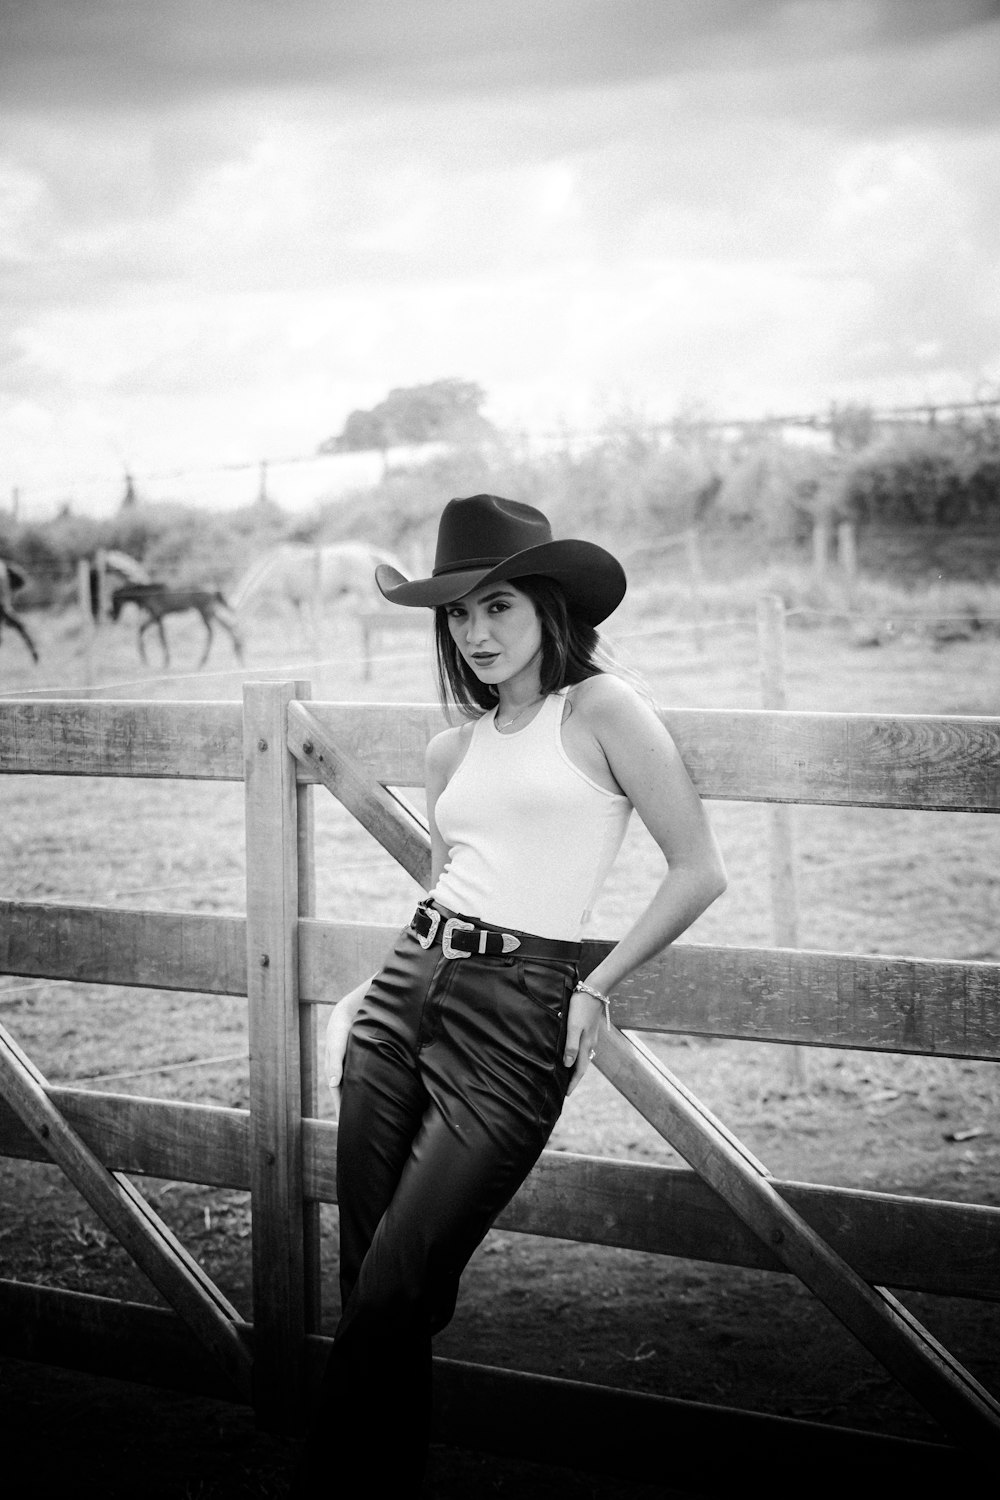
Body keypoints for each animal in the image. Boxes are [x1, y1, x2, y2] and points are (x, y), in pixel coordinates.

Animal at [110, 579, 245, 669]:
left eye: (115, 600)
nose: (113, 616)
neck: (148, 594)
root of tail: (214, 588)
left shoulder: (157, 616)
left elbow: (161, 637)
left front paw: (165, 662)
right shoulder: (156, 617)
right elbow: (143, 630)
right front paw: (145, 660)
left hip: (205, 612)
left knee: (212, 632)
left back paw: (203, 661)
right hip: (210, 612)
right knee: (228, 627)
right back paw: (237, 652)